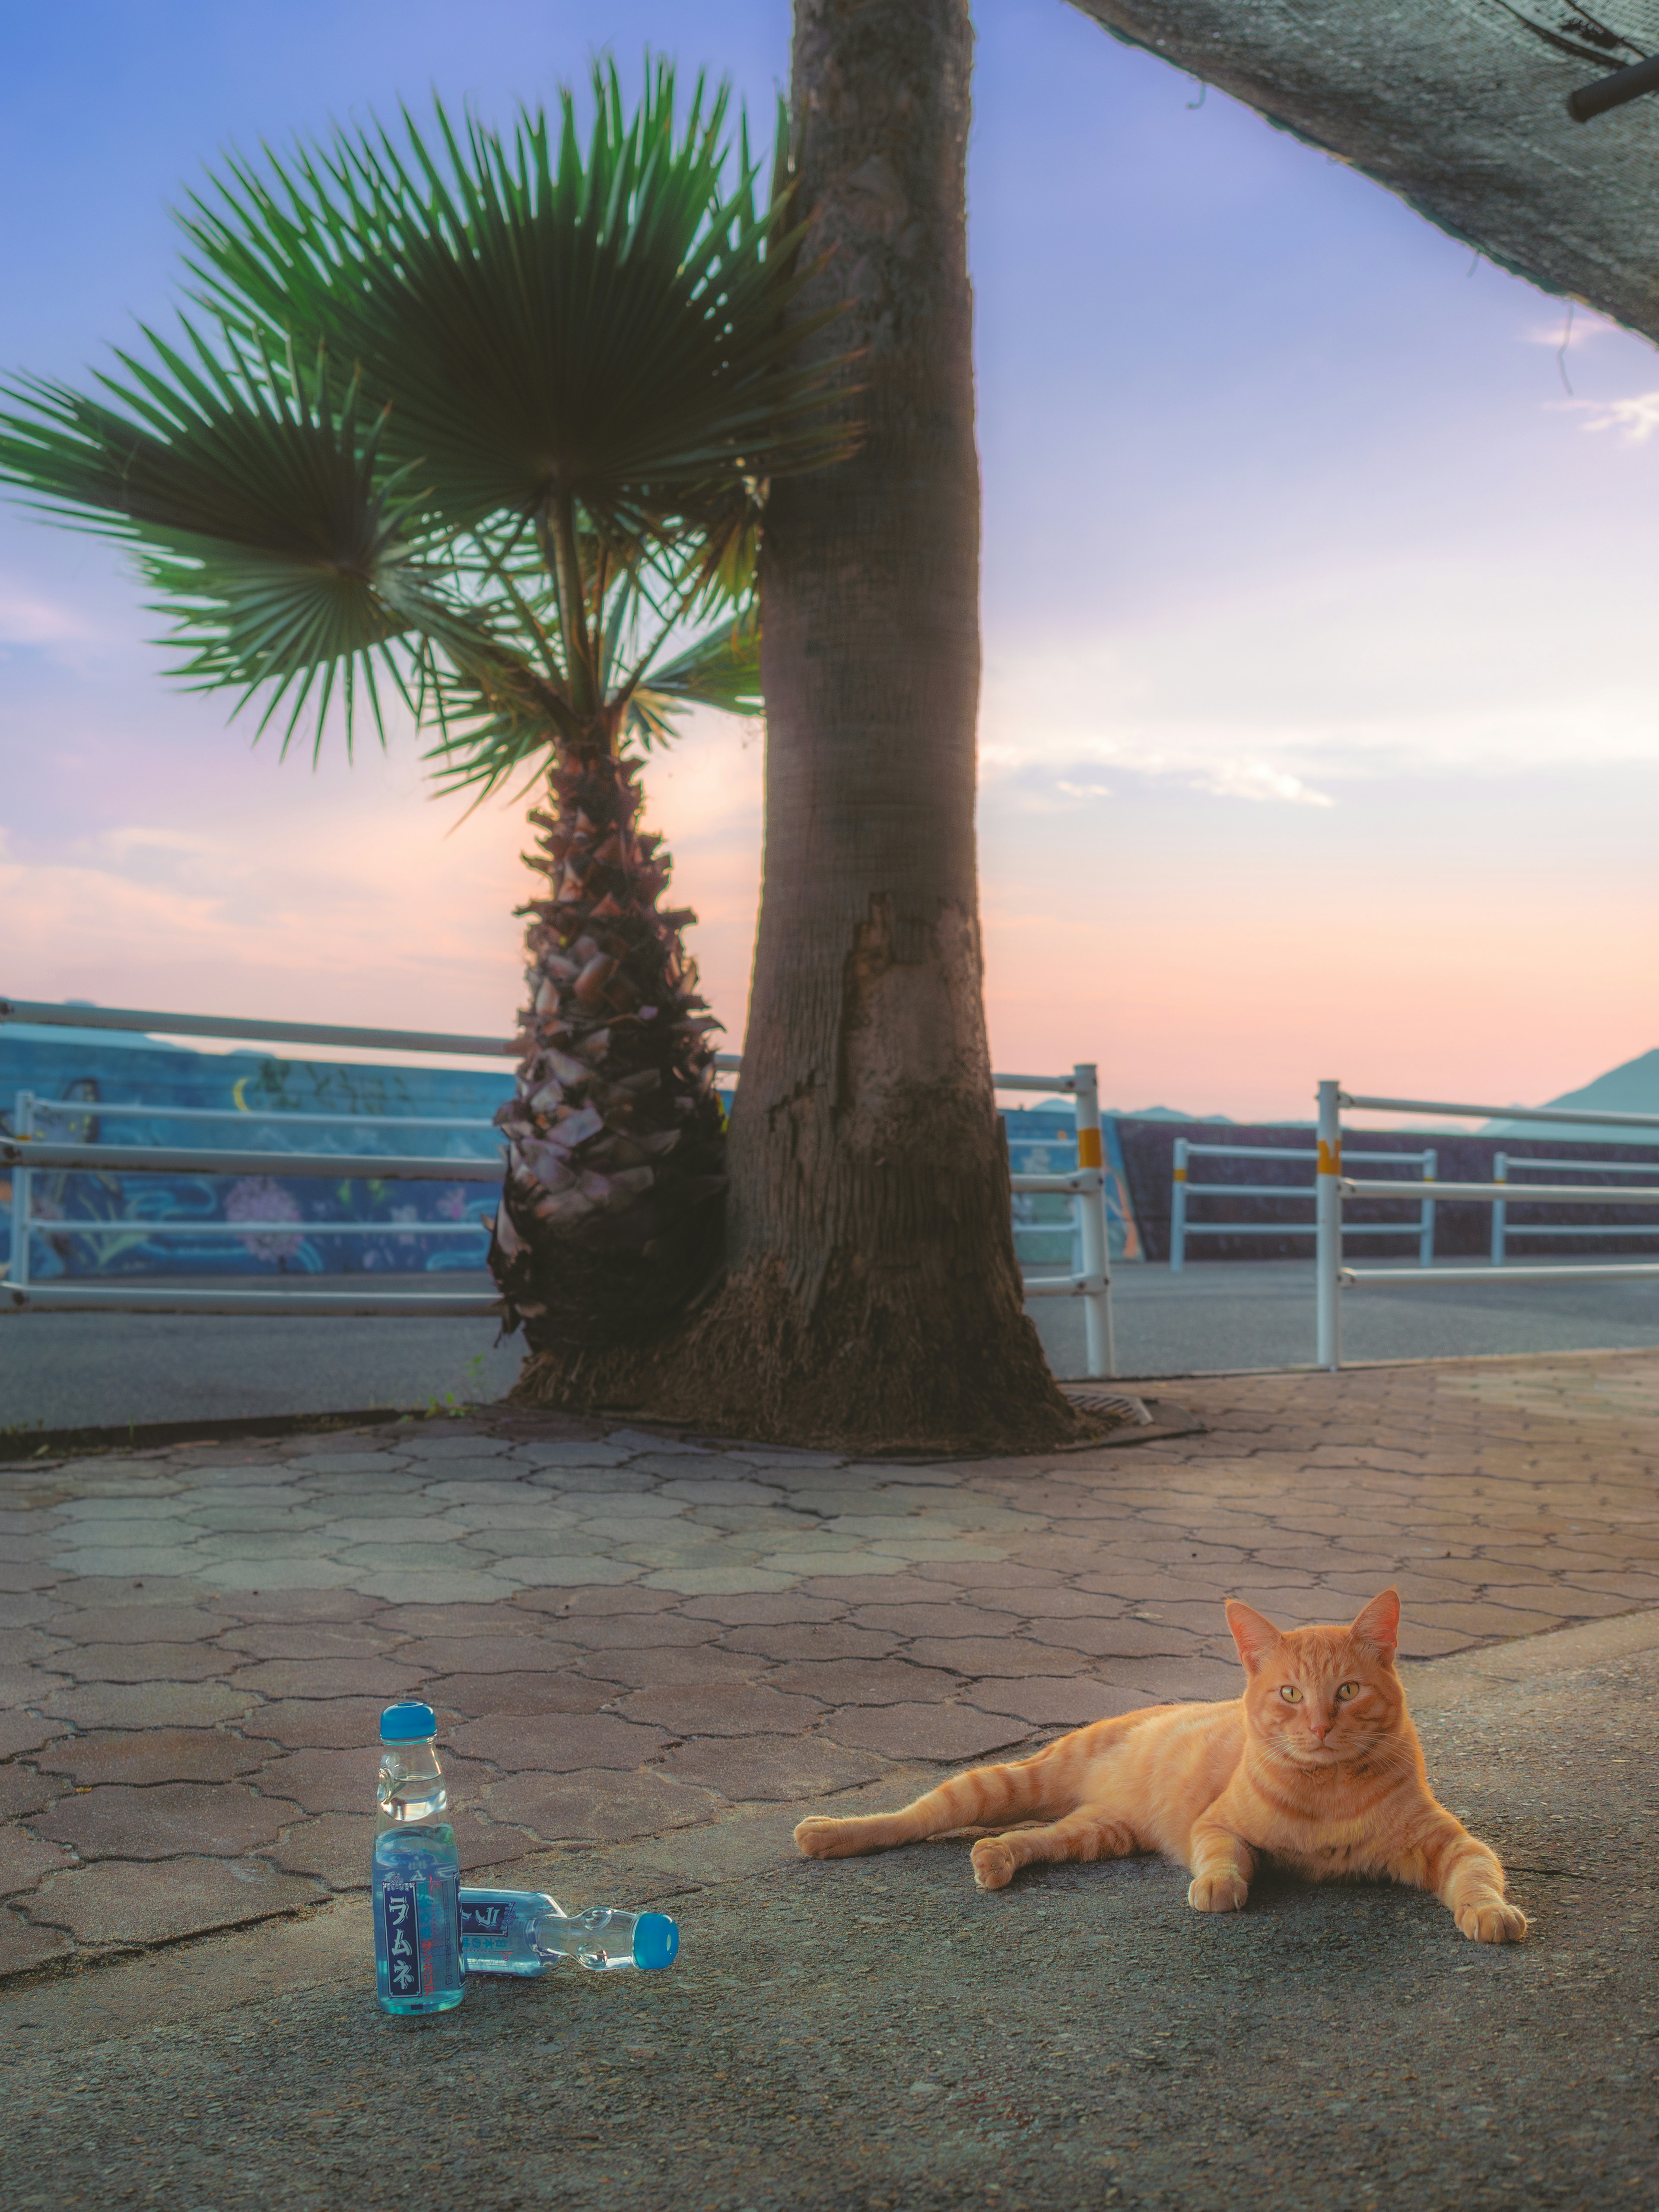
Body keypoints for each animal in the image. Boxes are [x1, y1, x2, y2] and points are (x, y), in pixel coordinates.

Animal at [801, 1593, 1531, 1937]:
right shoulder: (1219, 1825)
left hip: (1099, 1832)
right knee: (915, 1816)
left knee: (1032, 1839)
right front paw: (1218, 1887)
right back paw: (828, 1833)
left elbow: (1477, 1878)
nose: (1320, 1727)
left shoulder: (1452, 1844)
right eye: (1291, 1695)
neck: (1327, 1792)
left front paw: (1492, 1913)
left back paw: (996, 1859)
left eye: (1347, 1692)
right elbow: (1223, 1857)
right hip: (1002, 1784)